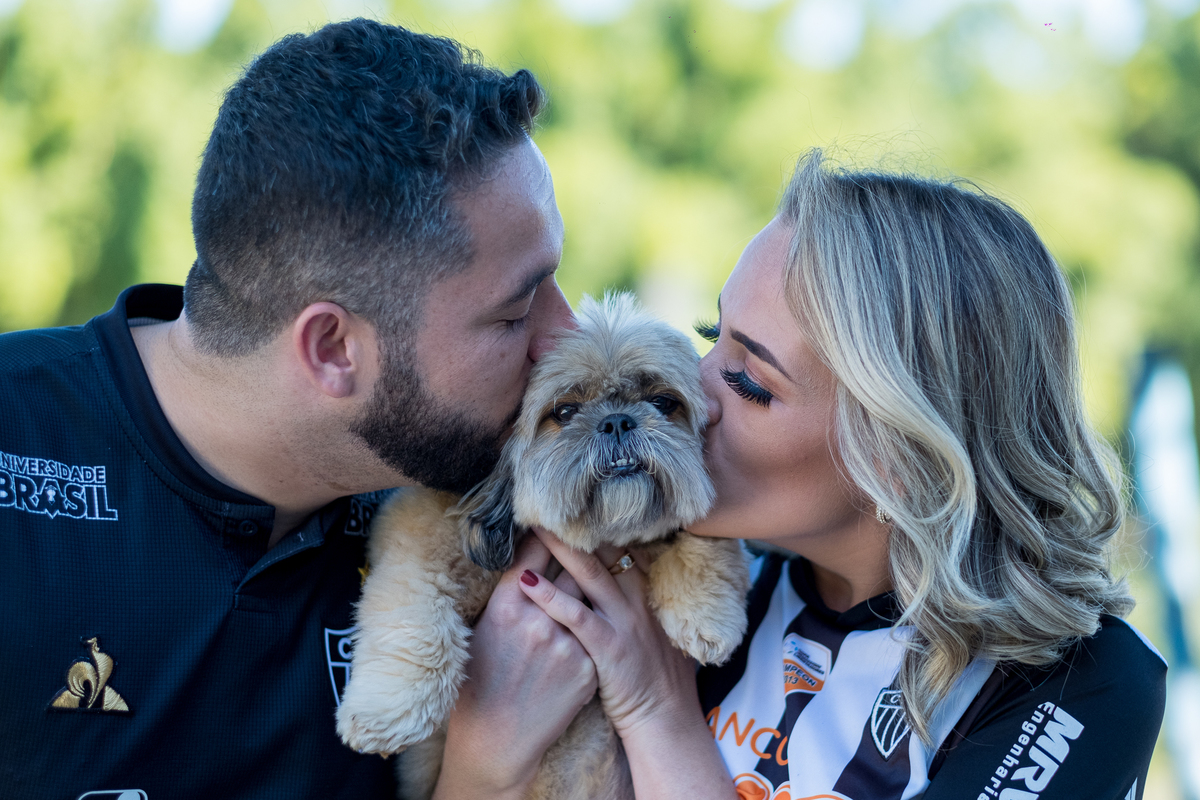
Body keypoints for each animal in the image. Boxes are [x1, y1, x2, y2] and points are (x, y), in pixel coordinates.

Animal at [336, 293, 750, 800]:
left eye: (662, 402)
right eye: (565, 412)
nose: (617, 421)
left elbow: (711, 543)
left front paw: (707, 614)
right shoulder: (414, 530)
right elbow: (414, 607)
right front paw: (388, 710)